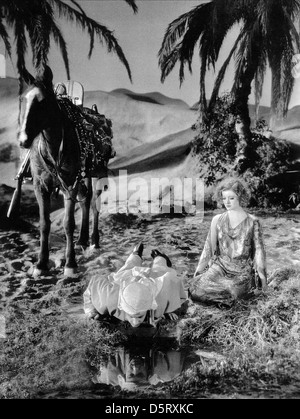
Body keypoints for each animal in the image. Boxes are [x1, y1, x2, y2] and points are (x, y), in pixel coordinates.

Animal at [17, 78, 113, 278]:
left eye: (43, 102)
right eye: (23, 99)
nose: (24, 140)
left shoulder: (69, 184)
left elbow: (68, 223)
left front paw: (70, 264)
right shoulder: (40, 186)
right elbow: (44, 223)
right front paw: (41, 264)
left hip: (97, 174)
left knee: (94, 204)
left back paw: (94, 240)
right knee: (86, 200)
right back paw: (82, 240)